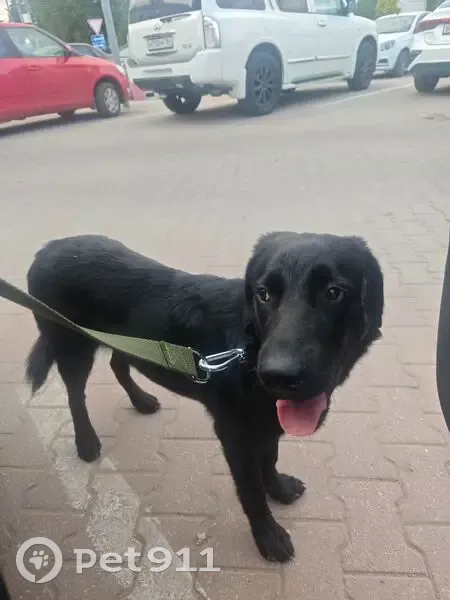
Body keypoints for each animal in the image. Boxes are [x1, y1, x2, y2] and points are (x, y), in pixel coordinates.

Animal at [25, 231, 384, 563]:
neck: (248, 350)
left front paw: (278, 489)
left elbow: (269, 458)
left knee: (118, 363)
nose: (277, 376)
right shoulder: (234, 434)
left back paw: (141, 401)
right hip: (71, 347)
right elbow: (251, 490)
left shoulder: (266, 423)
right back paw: (86, 442)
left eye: (333, 292)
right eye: (264, 294)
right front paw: (268, 537)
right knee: (75, 395)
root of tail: (48, 247)